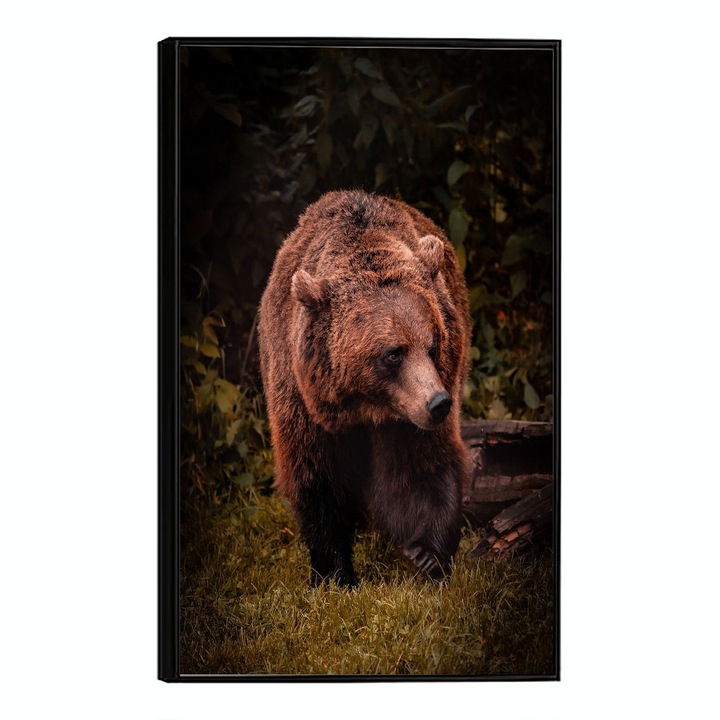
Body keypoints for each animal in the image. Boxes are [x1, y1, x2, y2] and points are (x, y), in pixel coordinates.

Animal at [257, 190, 471, 587]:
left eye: (433, 344)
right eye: (393, 353)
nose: (439, 403)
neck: (366, 407)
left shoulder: (407, 415)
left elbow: (420, 468)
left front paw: (427, 556)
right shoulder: (303, 400)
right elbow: (318, 478)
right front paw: (333, 574)